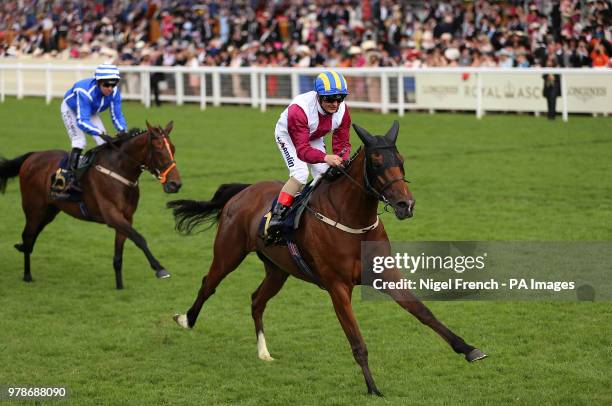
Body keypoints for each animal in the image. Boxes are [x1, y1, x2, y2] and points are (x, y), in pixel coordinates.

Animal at [0, 120, 182, 288]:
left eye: (173, 149)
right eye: (158, 150)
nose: (176, 184)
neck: (119, 170)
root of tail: (33, 156)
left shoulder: (126, 218)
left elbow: (118, 256)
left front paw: (119, 286)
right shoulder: (112, 216)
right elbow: (139, 238)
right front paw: (160, 268)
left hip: (49, 211)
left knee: (32, 236)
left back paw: (23, 252)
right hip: (34, 209)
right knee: (28, 235)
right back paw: (27, 275)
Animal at [166, 121, 482, 396]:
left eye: (401, 159)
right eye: (376, 161)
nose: (406, 204)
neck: (353, 221)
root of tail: (244, 190)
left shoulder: (385, 275)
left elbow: (423, 312)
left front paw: (469, 349)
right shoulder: (338, 286)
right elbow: (357, 341)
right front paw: (372, 387)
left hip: (278, 269)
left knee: (257, 300)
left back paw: (263, 352)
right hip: (228, 253)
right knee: (208, 284)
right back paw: (186, 319)